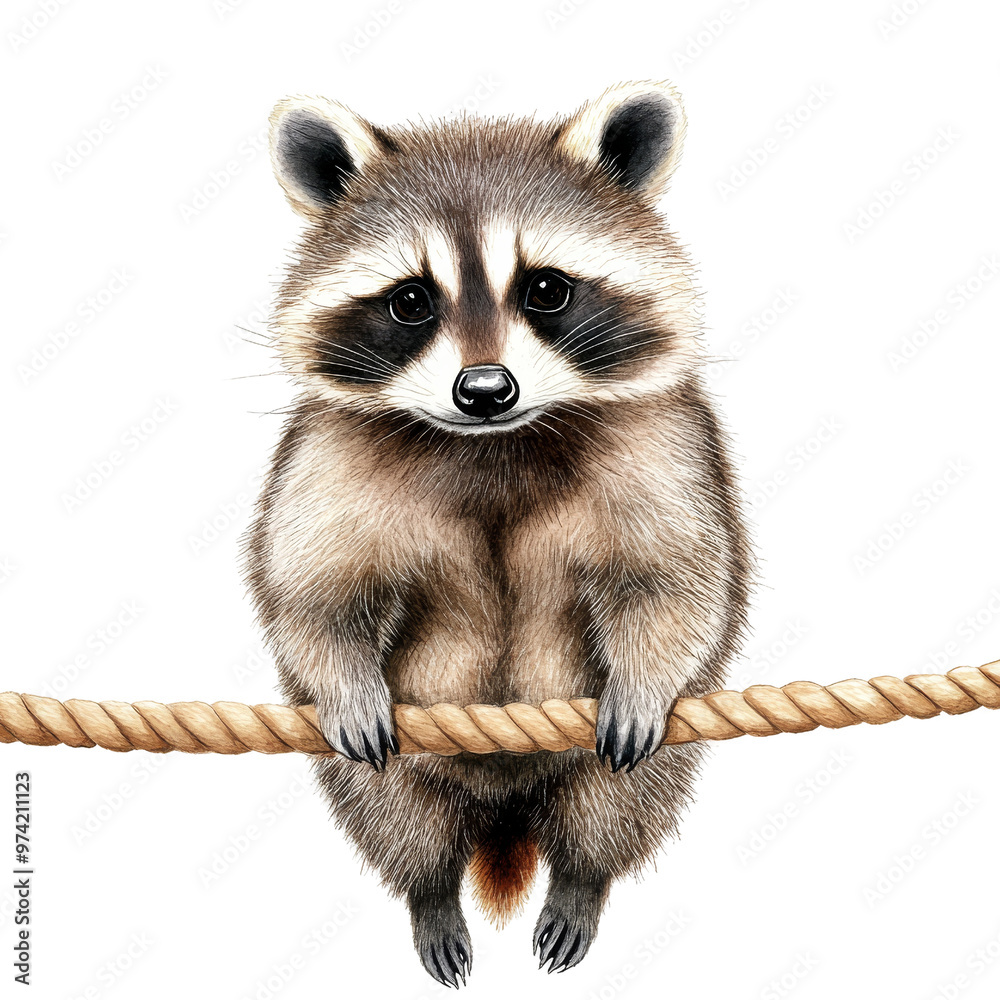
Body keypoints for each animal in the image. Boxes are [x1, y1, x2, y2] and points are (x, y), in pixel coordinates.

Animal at [245, 81, 752, 986]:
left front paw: (646, 674)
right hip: (397, 777)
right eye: (411, 300)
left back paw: (582, 880)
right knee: (393, 813)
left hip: (628, 764)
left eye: (546, 289)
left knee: (617, 804)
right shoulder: (326, 458)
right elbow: (315, 589)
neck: (493, 443)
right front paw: (342, 676)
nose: (485, 390)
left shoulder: (664, 443)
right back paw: (430, 892)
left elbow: (674, 577)